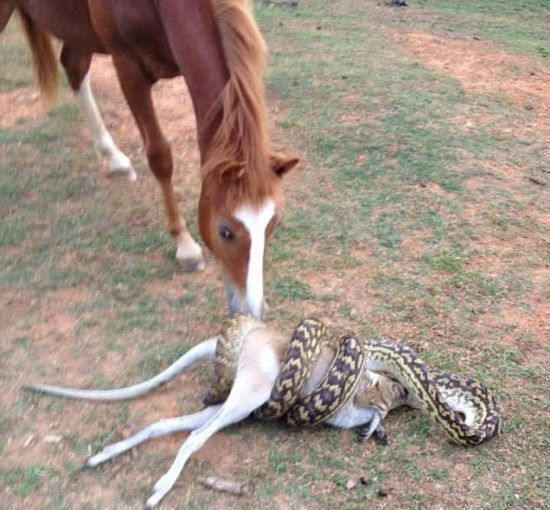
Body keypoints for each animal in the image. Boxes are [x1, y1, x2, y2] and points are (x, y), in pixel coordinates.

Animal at [0, 0, 300, 318]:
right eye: (226, 231)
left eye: (274, 222)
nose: (252, 310)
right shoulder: (128, 69)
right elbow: (160, 156)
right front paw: (186, 246)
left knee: (74, 66)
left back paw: (114, 157)